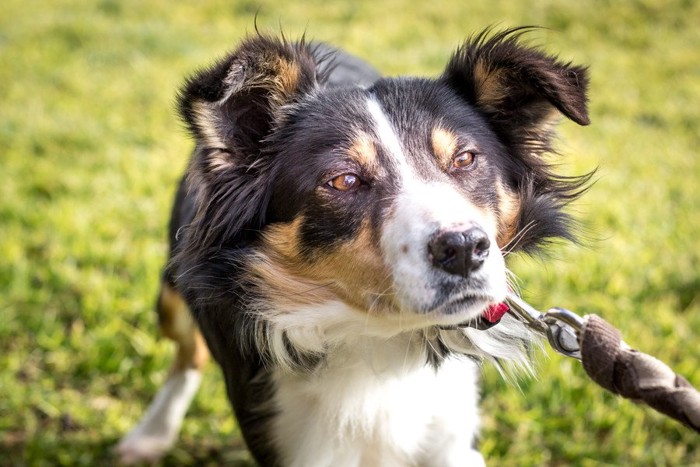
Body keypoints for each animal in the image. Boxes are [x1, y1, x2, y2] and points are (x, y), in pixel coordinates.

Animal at [117, 27, 588, 466]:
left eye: (465, 159)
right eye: (344, 180)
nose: (464, 249)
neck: (377, 335)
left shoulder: (452, 429)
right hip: (173, 292)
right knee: (186, 352)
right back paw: (150, 434)